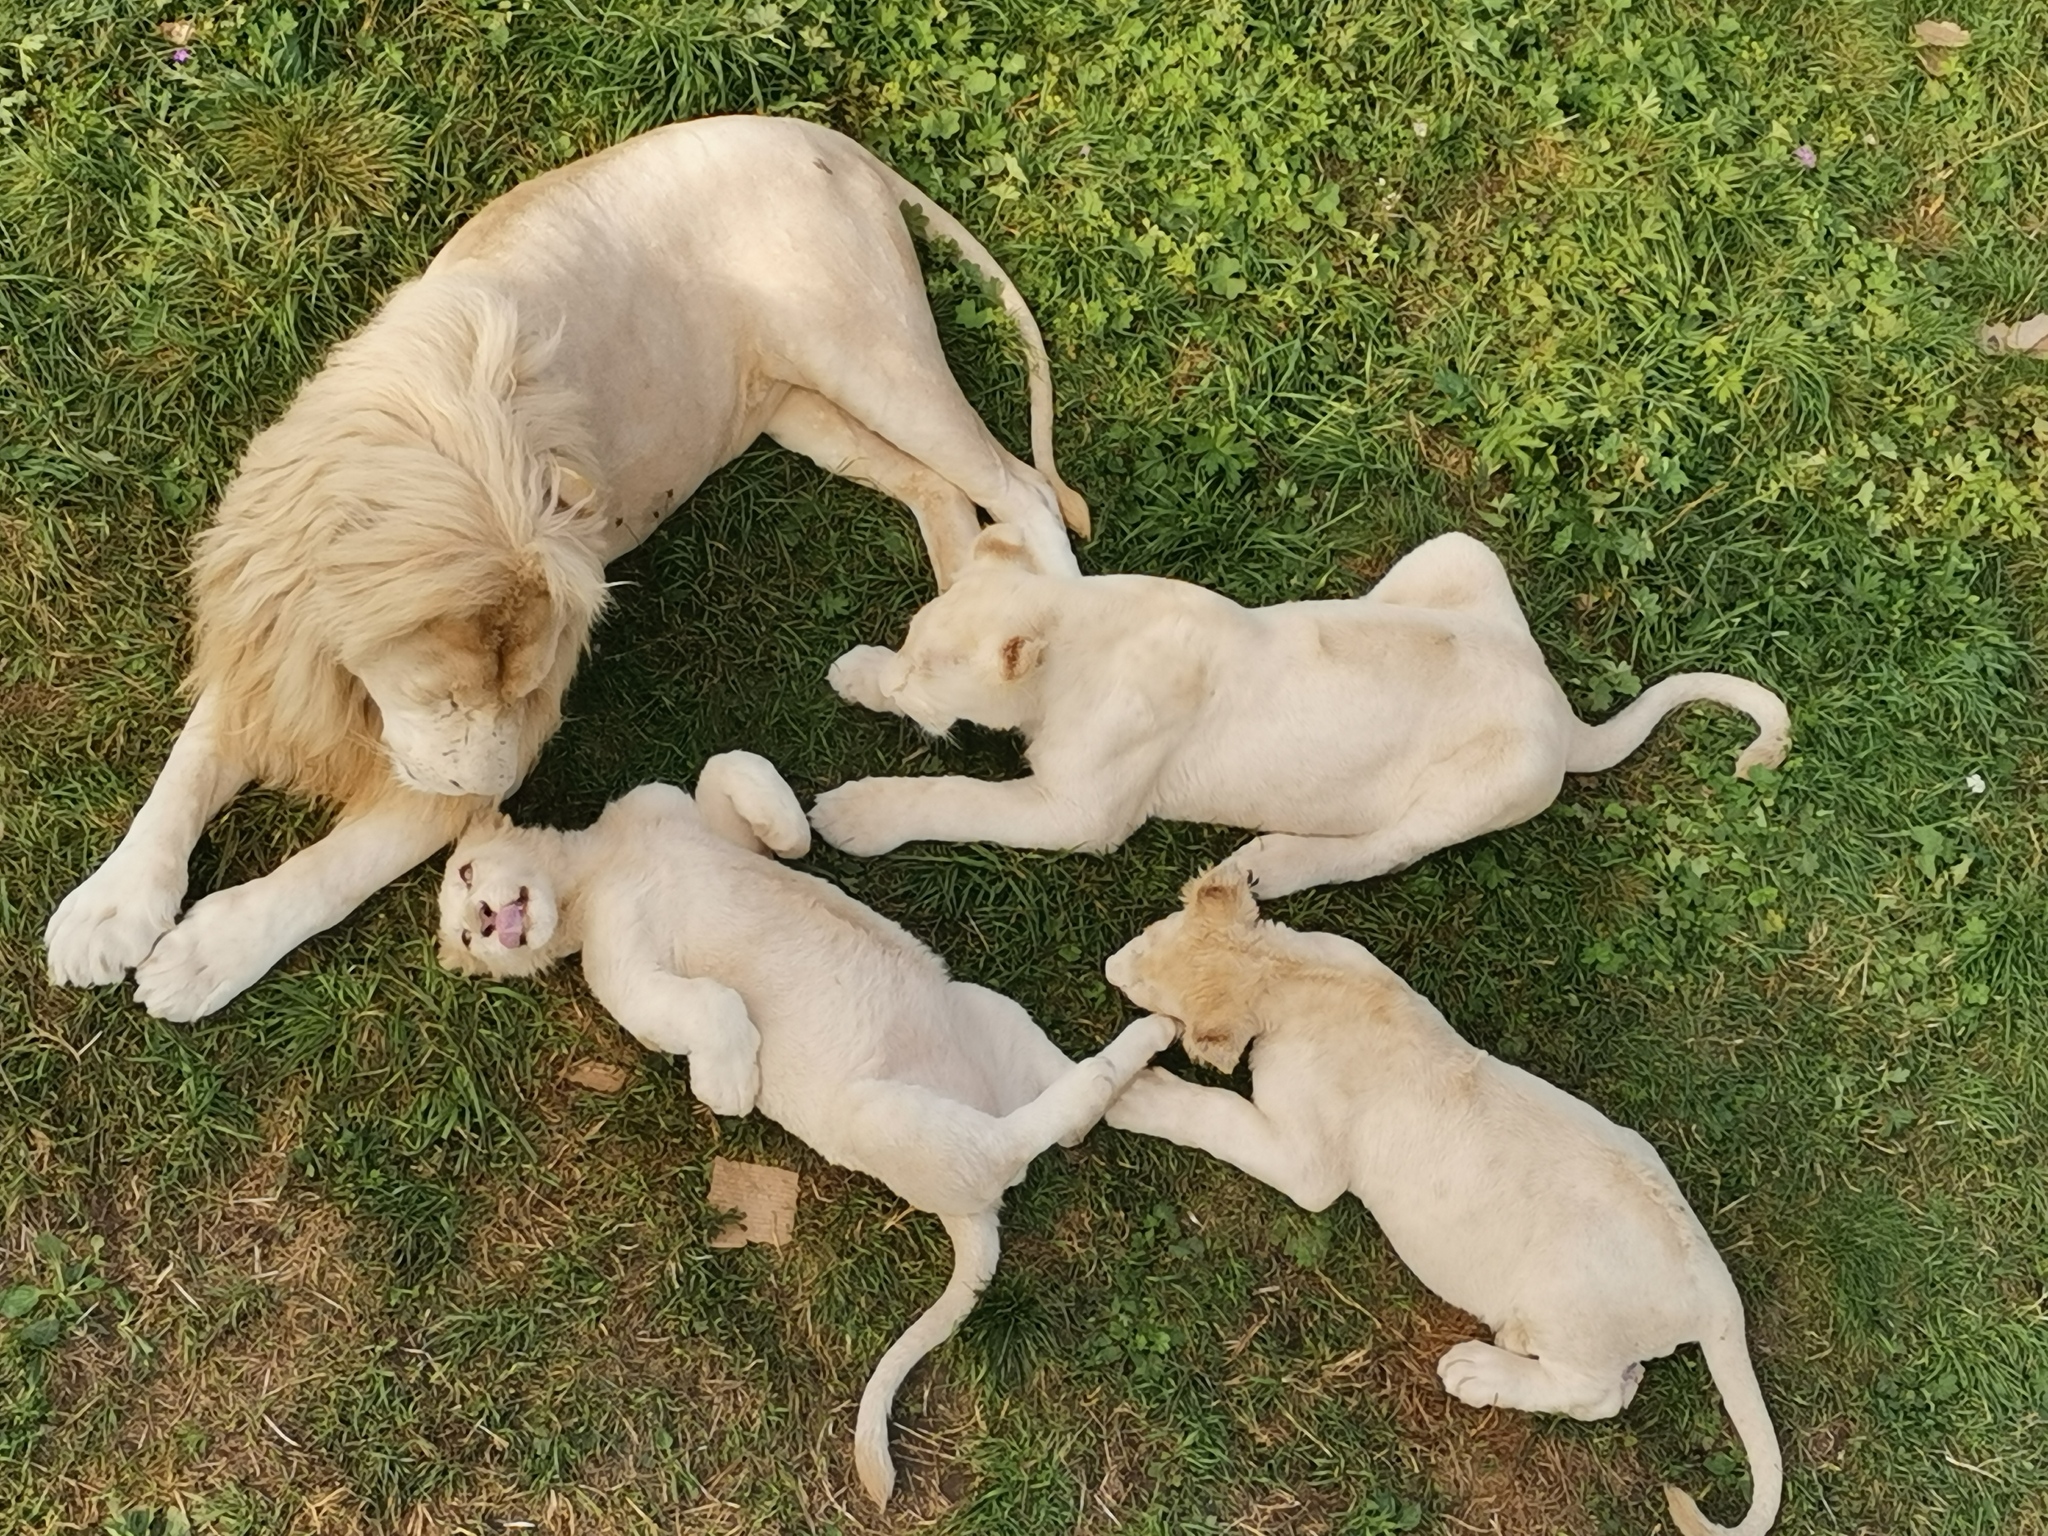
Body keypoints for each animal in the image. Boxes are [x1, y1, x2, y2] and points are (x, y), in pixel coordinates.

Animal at [436, 753, 1171, 1507]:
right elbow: (706, 1005)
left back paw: (1152, 1044)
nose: (487, 924)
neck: (593, 867)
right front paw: (732, 1081)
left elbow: (733, 770)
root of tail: (972, 1214)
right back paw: (1134, 1047)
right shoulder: (628, 979)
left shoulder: (688, 815)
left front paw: (797, 832)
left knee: (1079, 1108)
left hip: (989, 1012)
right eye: (463, 933)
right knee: (1033, 1136)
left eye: (466, 875)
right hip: (890, 1118)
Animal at [806, 528, 1785, 897]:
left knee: (1384, 849)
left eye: (934, 671)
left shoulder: (1079, 812)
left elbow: (956, 798)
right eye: (913, 644)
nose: (902, 682)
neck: (1080, 631)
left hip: (1481, 788)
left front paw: (856, 812)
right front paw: (859, 672)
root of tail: (1559, 709)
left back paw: (1267, 867)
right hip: (1458, 553)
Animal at [1105, 868, 1777, 1536]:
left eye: (1151, 995)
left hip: (1567, 1306)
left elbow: (1217, 1114)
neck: (1286, 975)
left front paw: (1136, 1093)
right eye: (1150, 932)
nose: (1111, 966)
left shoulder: (1309, 1166)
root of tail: (1713, 1289)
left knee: (1600, 1392)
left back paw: (1479, 1371)